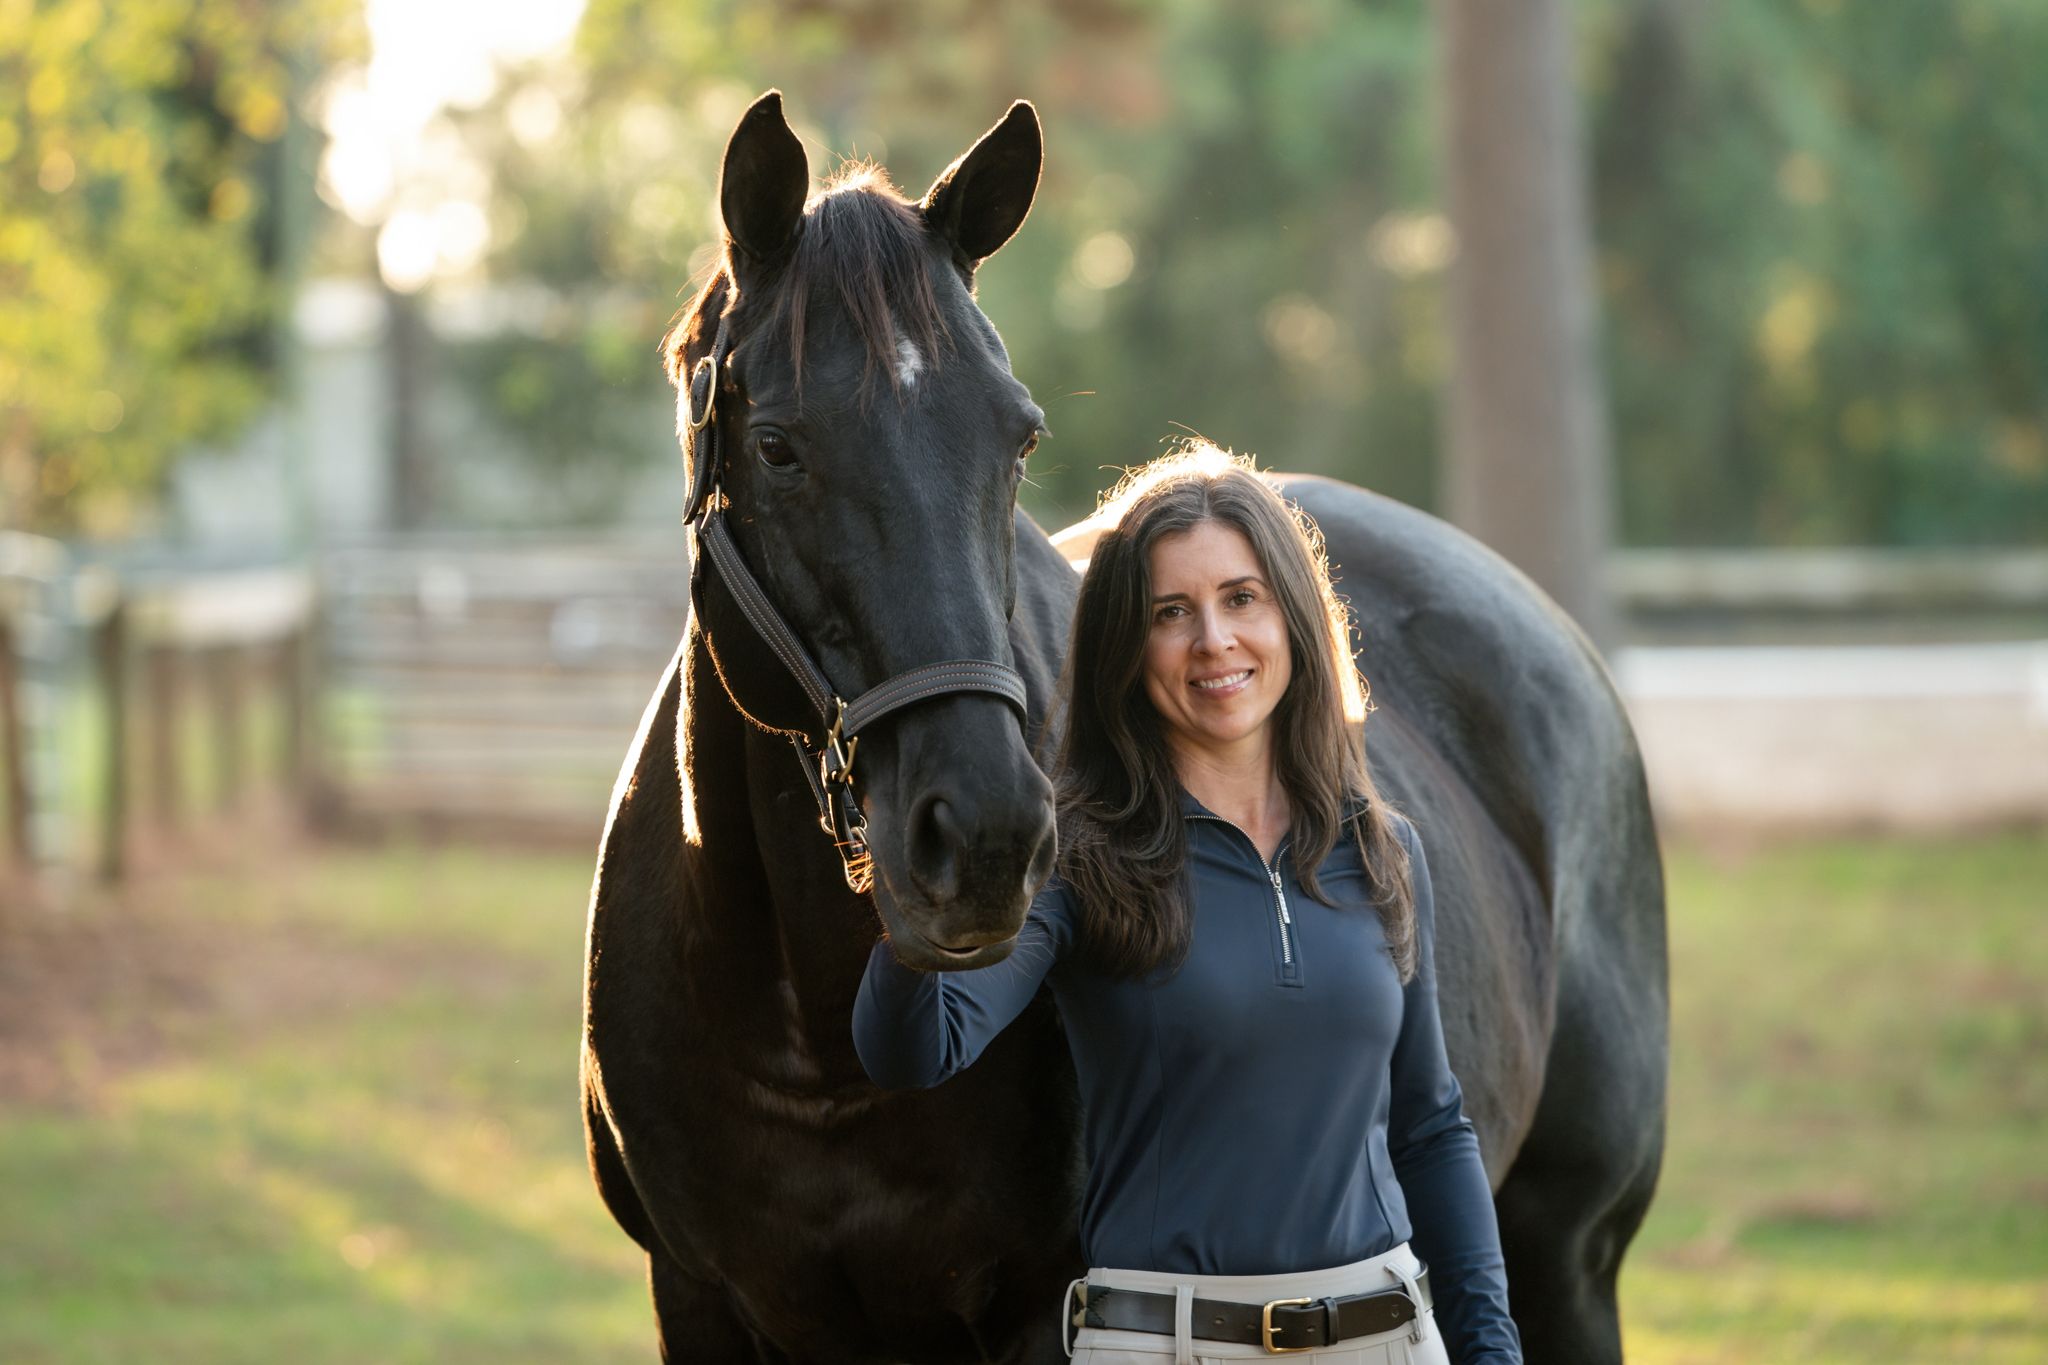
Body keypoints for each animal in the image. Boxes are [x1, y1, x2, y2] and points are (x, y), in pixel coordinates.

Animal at [581, 90, 1667, 1364]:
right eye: (776, 445)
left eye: (1017, 439)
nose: (988, 837)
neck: (810, 1041)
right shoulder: (698, 1298)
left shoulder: (1038, 1308)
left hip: (1568, 1261)